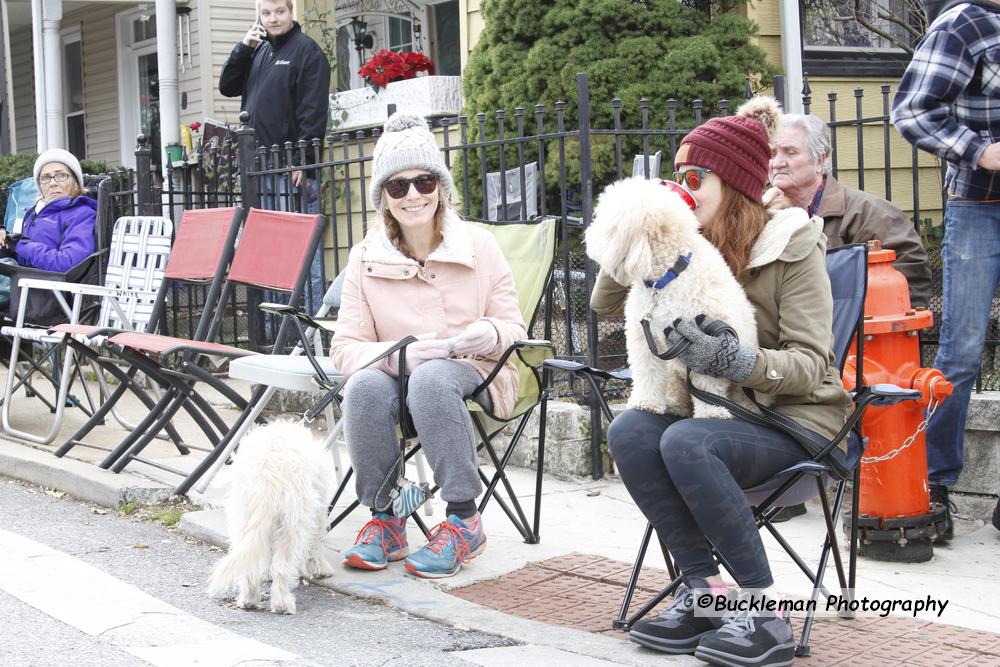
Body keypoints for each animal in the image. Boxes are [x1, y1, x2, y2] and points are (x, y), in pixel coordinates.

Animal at [206, 422, 336, 616]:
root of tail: (266, 476)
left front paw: (265, 572)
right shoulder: (317, 511)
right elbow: (316, 543)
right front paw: (321, 569)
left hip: (242, 519)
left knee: (250, 563)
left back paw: (249, 599)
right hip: (292, 525)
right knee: (281, 566)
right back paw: (282, 604)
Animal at [584, 177, 756, 418]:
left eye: (607, 226)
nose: (587, 236)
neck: (667, 278)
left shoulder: (708, 336)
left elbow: (708, 378)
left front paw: (712, 413)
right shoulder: (644, 338)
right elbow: (647, 371)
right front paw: (646, 402)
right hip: (675, 371)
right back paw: (676, 405)